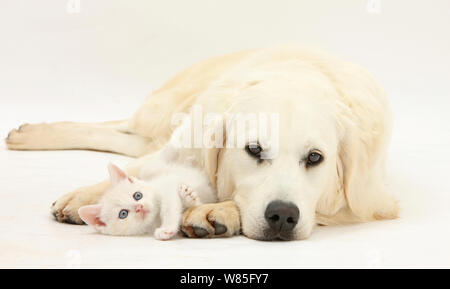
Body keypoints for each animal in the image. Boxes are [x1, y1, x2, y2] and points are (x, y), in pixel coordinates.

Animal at [78, 161, 217, 240]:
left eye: (137, 195)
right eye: (123, 214)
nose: (139, 207)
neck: (155, 220)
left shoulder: (167, 185)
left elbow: (169, 207)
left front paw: (166, 228)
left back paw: (188, 195)